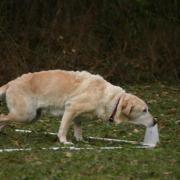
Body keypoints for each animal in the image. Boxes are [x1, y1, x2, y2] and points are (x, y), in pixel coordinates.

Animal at [0, 69, 156, 144]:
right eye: (144, 110)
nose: (155, 122)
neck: (112, 99)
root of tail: (11, 83)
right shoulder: (71, 108)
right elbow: (63, 129)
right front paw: (64, 142)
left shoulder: (77, 116)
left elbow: (78, 130)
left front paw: (81, 141)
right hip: (26, 115)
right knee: (2, 116)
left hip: (31, 116)